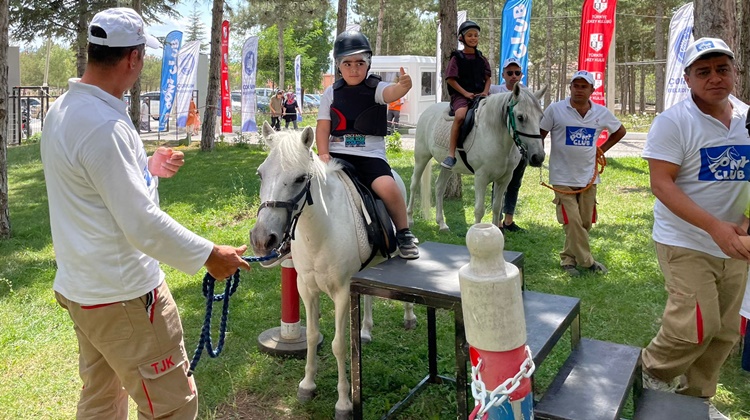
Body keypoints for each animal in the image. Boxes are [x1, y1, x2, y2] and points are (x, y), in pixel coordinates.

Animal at [249, 122, 416, 419]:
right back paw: (366, 330)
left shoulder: (342, 292)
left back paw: (409, 317)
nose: (261, 239)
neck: (319, 231)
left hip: (395, 249)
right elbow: (312, 336)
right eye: (261, 174)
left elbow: (339, 345)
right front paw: (307, 385)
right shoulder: (307, 290)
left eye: (300, 179)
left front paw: (344, 403)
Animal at [407, 84, 546, 232]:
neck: (494, 135)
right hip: (421, 157)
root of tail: (428, 111)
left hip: (449, 167)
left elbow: (497, 208)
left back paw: (442, 223)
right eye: (520, 117)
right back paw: (409, 219)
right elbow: (479, 210)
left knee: (439, 187)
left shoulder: (504, 179)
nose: (538, 157)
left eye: (540, 117)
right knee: (414, 184)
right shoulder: (481, 177)